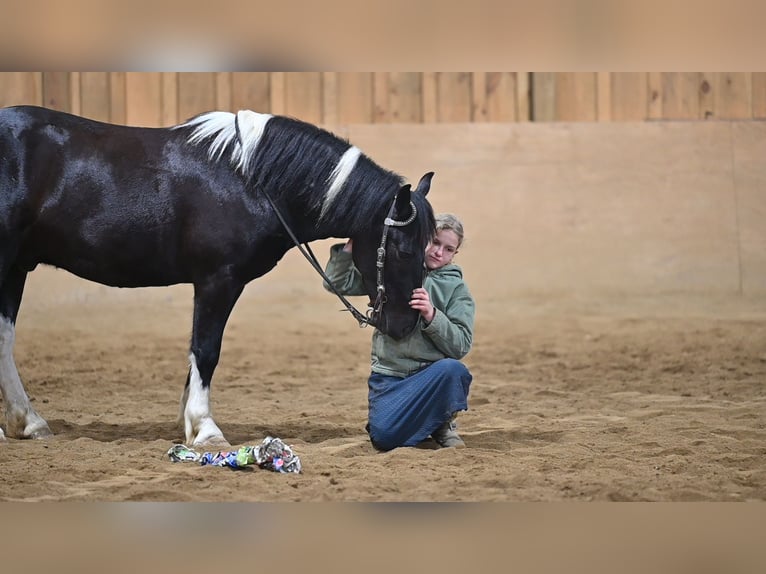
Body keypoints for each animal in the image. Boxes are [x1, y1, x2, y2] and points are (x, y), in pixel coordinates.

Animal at [0, 106, 436, 448]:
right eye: (404, 250)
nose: (406, 324)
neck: (249, 181)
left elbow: (196, 353)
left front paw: (188, 424)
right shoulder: (218, 281)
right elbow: (206, 350)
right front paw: (206, 428)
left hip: (15, 267)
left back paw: (27, 422)